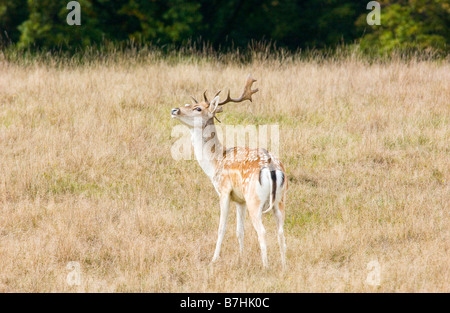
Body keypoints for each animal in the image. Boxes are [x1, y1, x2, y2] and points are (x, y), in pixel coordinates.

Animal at [171, 75, 286, 268]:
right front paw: (241, 257)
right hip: (280, 201)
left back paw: (266, 266)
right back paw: (284, 267)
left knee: (262, 232)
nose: (174, 110)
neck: (216, 162)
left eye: (198, 108)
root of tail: (272, 169)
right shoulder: (240, 200)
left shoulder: (224, 190)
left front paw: (213, 259)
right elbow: (240, 230)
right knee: (281, 232)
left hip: (255, 200)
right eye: (191, 103)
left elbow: (221, 228)